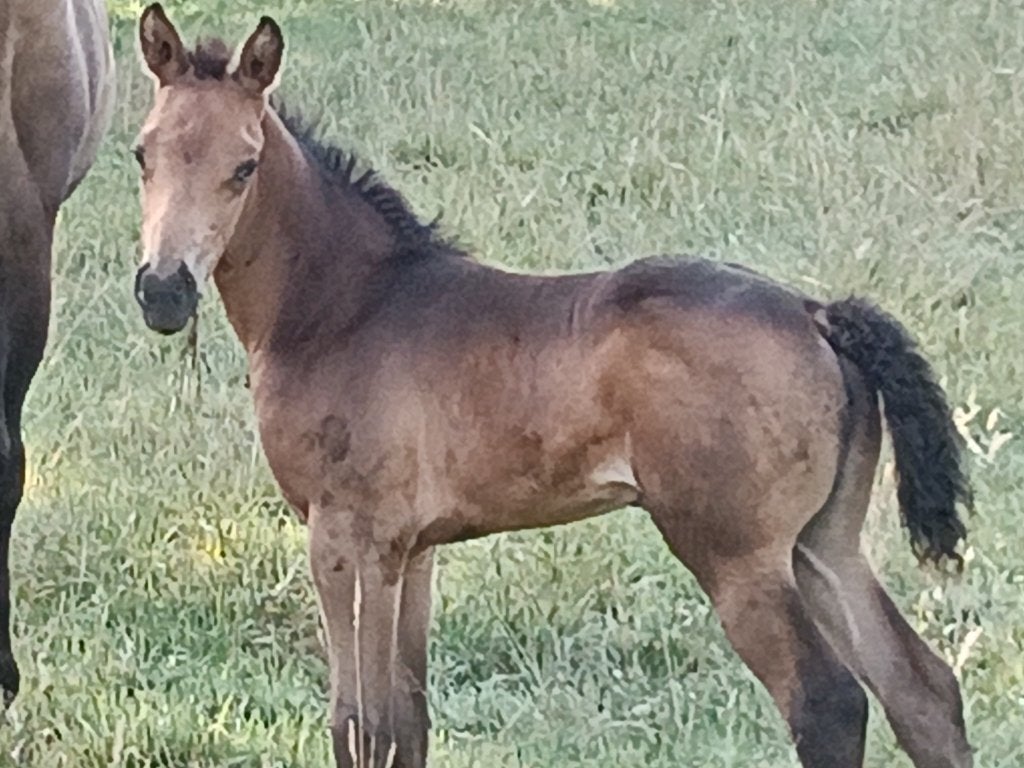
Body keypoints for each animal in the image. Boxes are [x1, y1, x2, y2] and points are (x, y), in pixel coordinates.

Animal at [130, 6, 974, 767]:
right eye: (142, 154)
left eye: (243, 166)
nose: (163, 292)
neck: (347, 306)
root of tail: (815, 314)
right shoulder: (414, 550)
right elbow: (408, 723)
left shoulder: (345, 537)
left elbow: (358, 727)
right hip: (823, 543)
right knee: (923, 690)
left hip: (738, 556)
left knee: (828, 703)